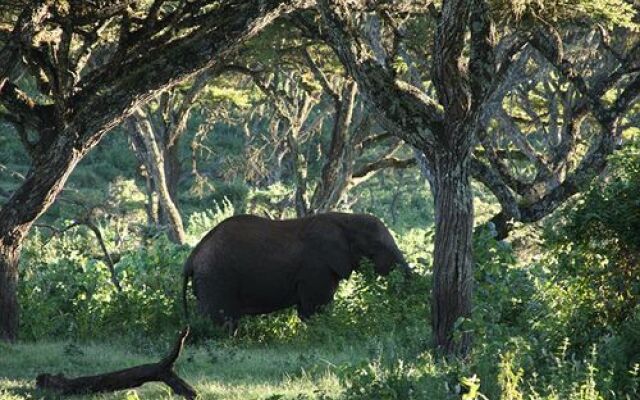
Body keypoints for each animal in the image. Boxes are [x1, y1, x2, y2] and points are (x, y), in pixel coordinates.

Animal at [181, 211, 410, 330]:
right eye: (377, 246)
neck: (345, 219)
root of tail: (192, 256)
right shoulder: (317, 266)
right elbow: (315, 308)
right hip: (216, 278)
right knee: (219, 319)